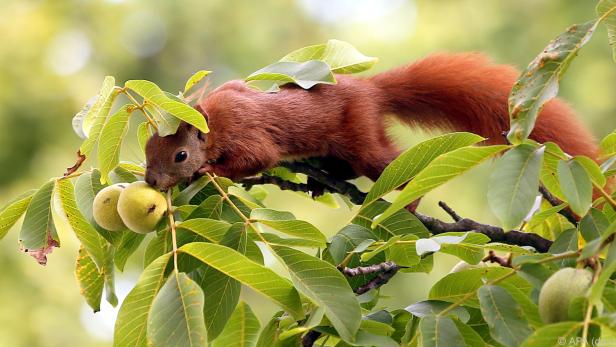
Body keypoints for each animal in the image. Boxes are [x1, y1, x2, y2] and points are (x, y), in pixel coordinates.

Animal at [144, 53, 596, 192]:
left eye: (180, 155)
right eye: (147, 148)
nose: (150, 181)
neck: (214, 123)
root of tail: (372, 90)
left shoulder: (248, 132)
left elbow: (258, 158)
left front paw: (211, 169)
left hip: (360, 134)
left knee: (386, 161)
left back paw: (408, 200)